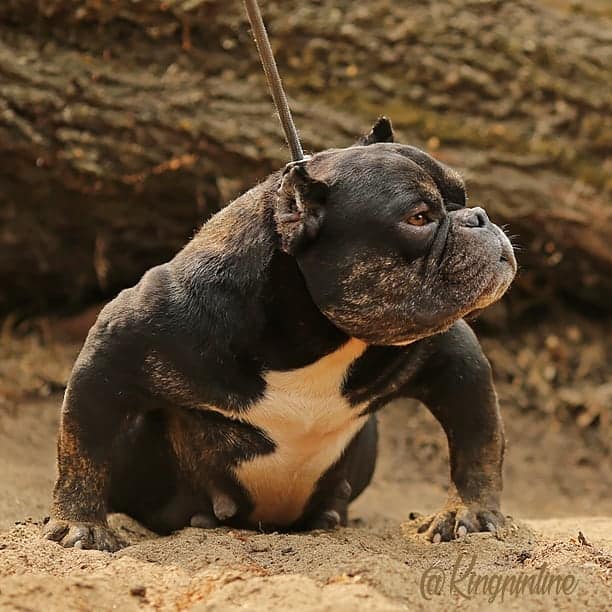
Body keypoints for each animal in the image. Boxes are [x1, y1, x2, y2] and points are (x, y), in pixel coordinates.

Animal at [43, 118, 516, 548]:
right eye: (418, 218)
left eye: (463, 198)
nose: (479, 217)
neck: (315, 337)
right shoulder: (122, 345)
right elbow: (81, 450)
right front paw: (81, 523)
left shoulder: (453, 359)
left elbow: (476, 443)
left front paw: (468, 512)